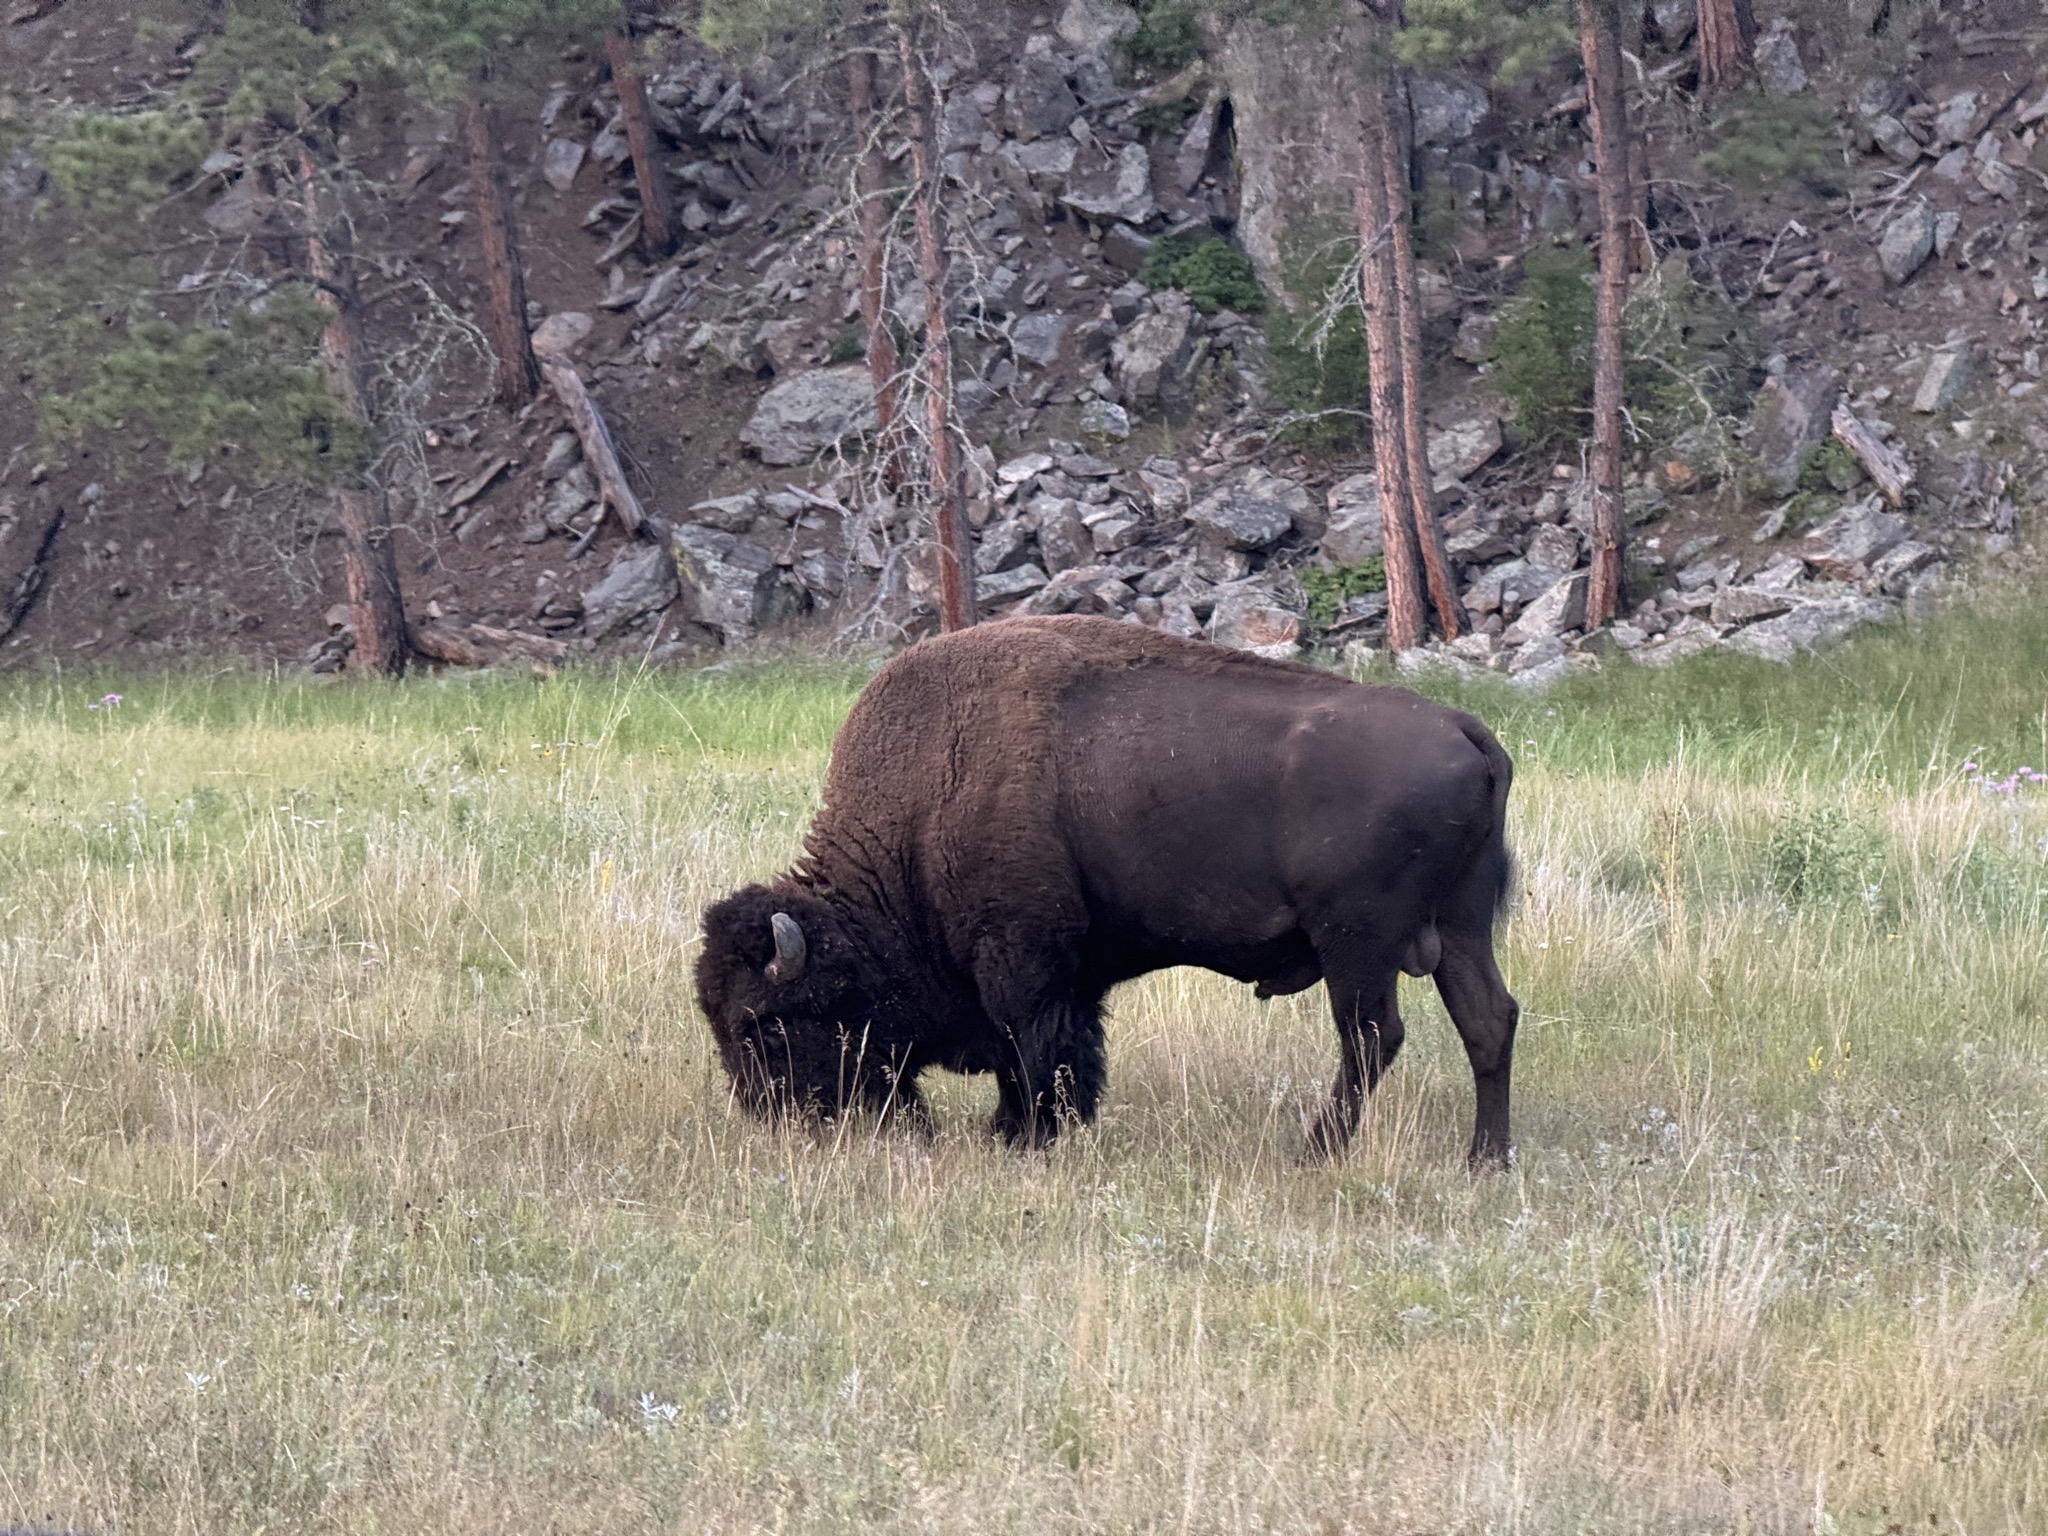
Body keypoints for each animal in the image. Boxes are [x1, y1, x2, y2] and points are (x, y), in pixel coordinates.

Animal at [695, 615, 1521, 1165]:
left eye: (762, 1024)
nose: (770, 1118)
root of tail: (1466, 729)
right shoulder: (1070, 973)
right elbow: (1059, 1050)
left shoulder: (1023, 961)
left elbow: (1032, 1046)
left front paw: (1026, 1136)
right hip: (1459, 927)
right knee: (1488, 1019)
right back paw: (1485, 1160)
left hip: (1357, 942)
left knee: (1372, 1037)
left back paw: (1313, 1150)